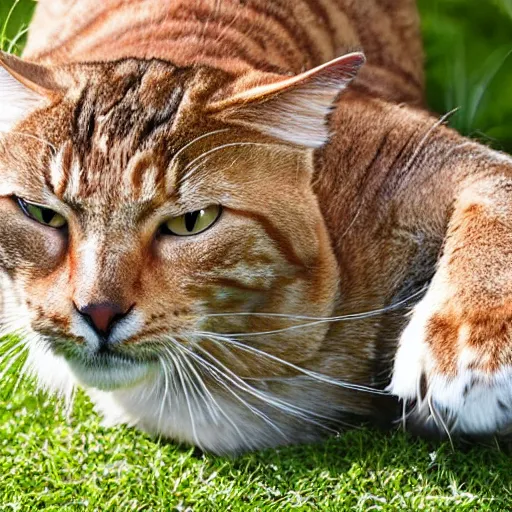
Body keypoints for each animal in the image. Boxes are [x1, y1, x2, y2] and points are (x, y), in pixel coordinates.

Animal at [0, 0, 510, 454]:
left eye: (191, 221)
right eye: (42, 214)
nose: (99, 312)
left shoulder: (431, 158)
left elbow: (496, 194)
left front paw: (470, 349)